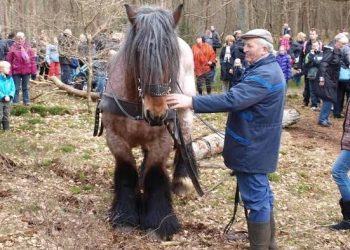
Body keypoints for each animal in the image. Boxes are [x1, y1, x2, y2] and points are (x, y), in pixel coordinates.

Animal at [101, 3, 198, 238]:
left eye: (171, 54)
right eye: (138, 53)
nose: (157, 113)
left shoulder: (162, 141)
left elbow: (155, 174)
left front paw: (159, 221)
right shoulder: (115, 139)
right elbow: (127, 170)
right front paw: (125, 216)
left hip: (185, 113)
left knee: (185, 141)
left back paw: (183, 181)